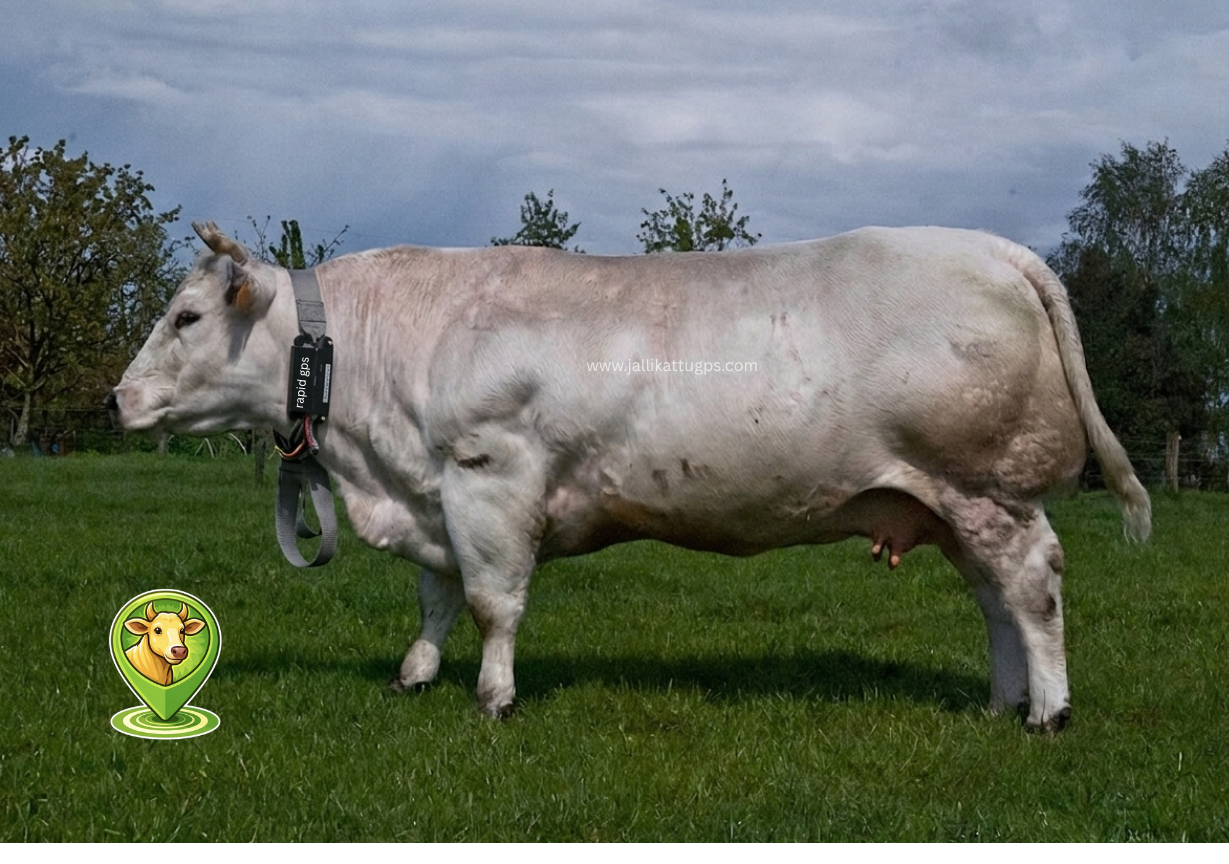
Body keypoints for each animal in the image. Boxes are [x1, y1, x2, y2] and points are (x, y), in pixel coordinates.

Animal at [110, 221, 1150, 731]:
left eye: (187, 317)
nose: (118, 400)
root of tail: (996, 250)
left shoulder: (490, 477)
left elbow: (491, 602)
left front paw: (493, 698)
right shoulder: (434, 496)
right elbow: (436, 598)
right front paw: (415, 676)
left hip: (991, 489)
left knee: (1032, 589)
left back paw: (1047, 712)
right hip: (955, 503)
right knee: (994, 602)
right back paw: (1001, 702)